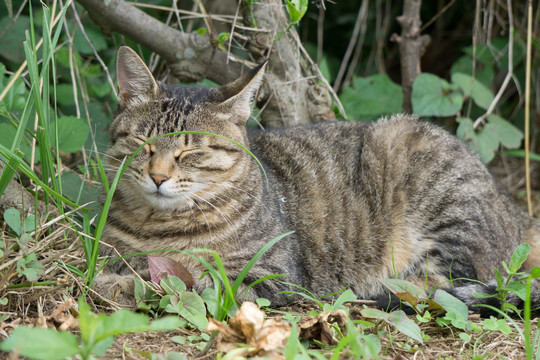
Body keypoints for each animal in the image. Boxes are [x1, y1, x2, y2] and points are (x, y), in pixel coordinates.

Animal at [98, 46, 540, 310]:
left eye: (191, 151)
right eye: (143, 143)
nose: (157, 176)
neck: (160, 225)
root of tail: (514, 209)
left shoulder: (270, 276)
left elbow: (190, 280)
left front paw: (131, 283)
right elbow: (127, 265)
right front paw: (119, 278)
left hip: (408, 151)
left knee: (446, 284)